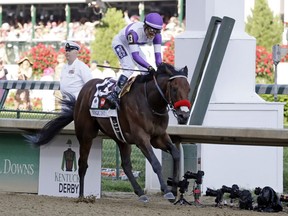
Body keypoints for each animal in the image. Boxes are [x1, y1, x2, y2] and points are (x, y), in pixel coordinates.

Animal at [25, 62, 190, 202]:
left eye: (188, 88)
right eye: (174, 89)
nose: (184, 115)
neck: (149, 101)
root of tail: (84, 90)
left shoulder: (159, 136)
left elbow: (176, 154)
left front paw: (174, 188)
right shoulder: (141, 138)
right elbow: (155, 163)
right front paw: (167, 191)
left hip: (120, 138)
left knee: (126, 165)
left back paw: (140, 193)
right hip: (86, 135)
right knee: (83, 164)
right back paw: (81, 196)